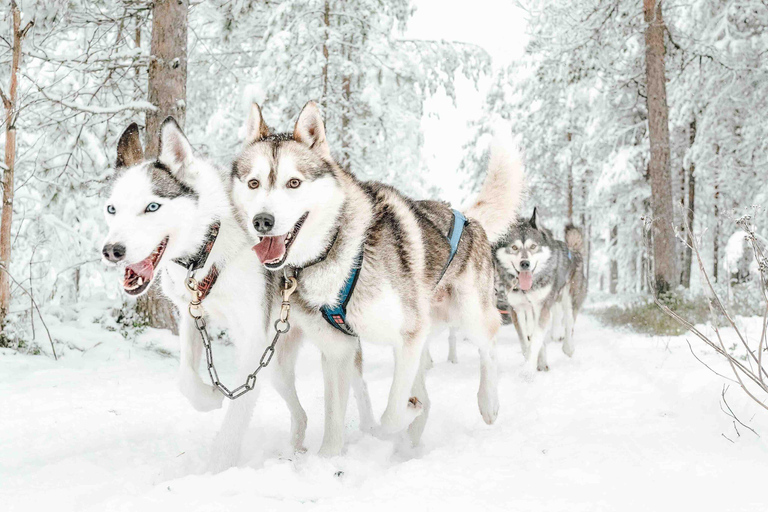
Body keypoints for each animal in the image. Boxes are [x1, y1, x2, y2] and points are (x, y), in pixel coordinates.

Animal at [230, 102, 520, 454]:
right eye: (254, 183)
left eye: (294, 183)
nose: (262, 221)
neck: (335, 251)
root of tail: (468, 218)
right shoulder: (339, 350)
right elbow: (335, 422)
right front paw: (328, 459)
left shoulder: (408, 336)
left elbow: (391, 415)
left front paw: (400, 418)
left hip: (467, 315)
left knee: (488, 344)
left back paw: (487, 402)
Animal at [496, 210, 584, 374]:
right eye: (514, 247)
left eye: (533, 246)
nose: (525, 263)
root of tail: (573, 250)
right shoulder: (517, 309)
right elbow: (525, 340)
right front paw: (535, 361)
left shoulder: (542, 307)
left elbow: (536, 339)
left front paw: (528, 371)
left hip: (569, 298)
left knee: (569, 323)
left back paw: (567, 347)